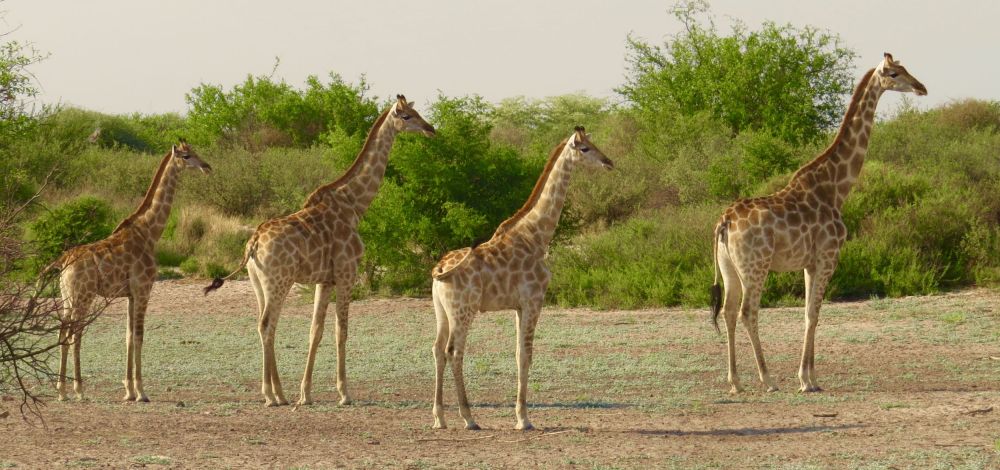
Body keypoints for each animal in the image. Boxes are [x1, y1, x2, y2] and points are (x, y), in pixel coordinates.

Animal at [51, 141, 211, 401]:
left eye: (195, 151)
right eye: (187, 155)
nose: (207, 167)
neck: (150, 233)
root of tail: (64, 260)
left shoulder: (130, 294)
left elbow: (127, 336)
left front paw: (128, 391)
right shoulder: (144, 289)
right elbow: (139, 336)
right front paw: (142, 392)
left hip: (66, 297)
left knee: (62, 333)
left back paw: (62, 391)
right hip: (83, 296)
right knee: (75, 334)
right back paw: (79, 390)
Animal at [204, 95, 435, 407]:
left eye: (416, 112)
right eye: (408, 116)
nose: (430, 129)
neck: (355, 206)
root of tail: (253, 243)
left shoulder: (324, 280)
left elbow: (315, 331)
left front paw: (306, 393)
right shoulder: (348, 274)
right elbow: (341, 331)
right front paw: (344, 393)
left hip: (257, 283)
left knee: (266, 325)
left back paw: (280, 393)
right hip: (279, 281)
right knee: (266, 325)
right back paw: (270, 395)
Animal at [430, 126, 613, 431]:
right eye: (585, 148)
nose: (608, 162)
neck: (537, 237)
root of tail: (439, 268)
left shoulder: (518, 306)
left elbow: (517, 354)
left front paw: (520, 415)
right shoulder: (534, 300)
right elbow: (527, 355)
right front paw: (524, 419)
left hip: (441, 310)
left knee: (436, 349)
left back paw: (439, 418)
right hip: (463, 310)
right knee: (453, 351)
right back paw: (468, 417)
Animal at [709, 53, 926, 394]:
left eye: (905, 69)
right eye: (894, 73)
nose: (921, 87)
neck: (836, 188)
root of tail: (725, 222)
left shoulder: (810, 263)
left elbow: (808, 314)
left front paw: (809, 378)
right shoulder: (828, 257)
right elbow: (814, 313)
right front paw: (806, 380)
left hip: (729, 267)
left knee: (729, 312)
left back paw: (736, 382)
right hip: (755, 265)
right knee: (747, 312)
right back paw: (768, 379)